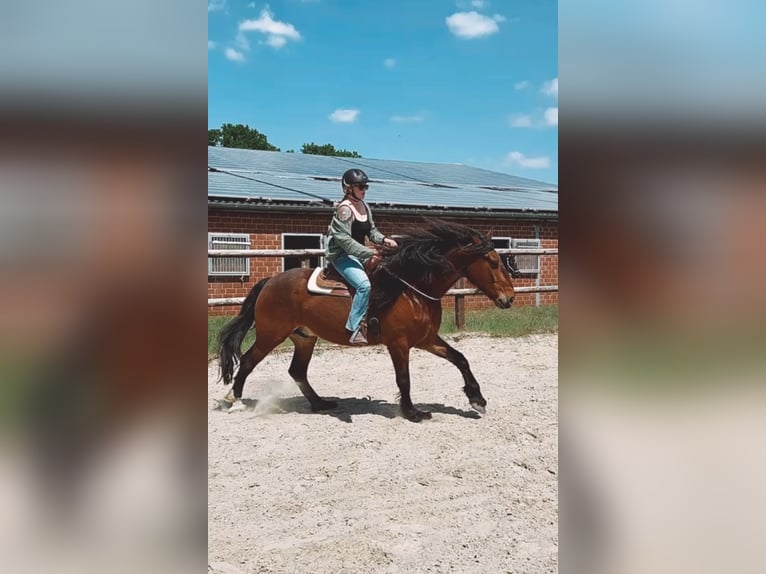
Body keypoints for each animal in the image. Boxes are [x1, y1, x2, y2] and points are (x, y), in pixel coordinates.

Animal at [218, 219, 516, 424]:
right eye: (492, 261)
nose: (510, 298)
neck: (410, 288)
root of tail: (270, 282)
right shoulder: (399, 344)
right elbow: (404, 379)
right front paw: (412, 412)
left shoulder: (427, 340)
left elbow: (460, 359)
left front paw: (477, 399)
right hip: (271, 335)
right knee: (247, 361)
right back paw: (230, 400)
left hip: (304, 338)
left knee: (297, 371)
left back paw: (321, 404)